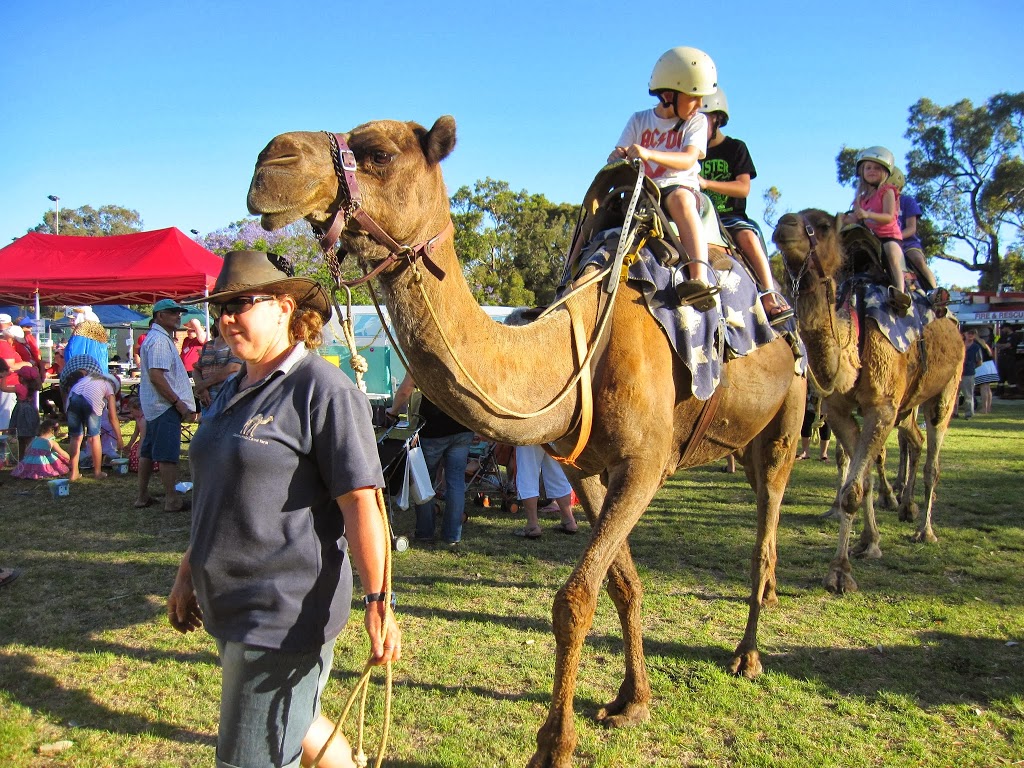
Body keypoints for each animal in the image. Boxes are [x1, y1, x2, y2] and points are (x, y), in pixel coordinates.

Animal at [247, 115, 806, 768]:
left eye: (378, 153)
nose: (272, 161)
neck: (580, 342)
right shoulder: (591, 468)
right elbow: (622, 585)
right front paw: (632, 701)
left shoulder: (644, 463)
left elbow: (574, 600)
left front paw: (554, 745)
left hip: (788, 421)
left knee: (764, 536)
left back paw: (748, 657)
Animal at [770, 207, 962, 593]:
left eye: (823, 225)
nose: (784, 224)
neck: (853, 344)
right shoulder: (839, 409)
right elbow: (861, 480)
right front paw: (867, 543)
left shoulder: (881, 407)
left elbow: (853, 489)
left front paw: (840, 574)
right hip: (908, 405)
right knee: (914, 440)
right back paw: (904, 506)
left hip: (946, 390)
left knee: (933, 459)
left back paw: (925, 530)